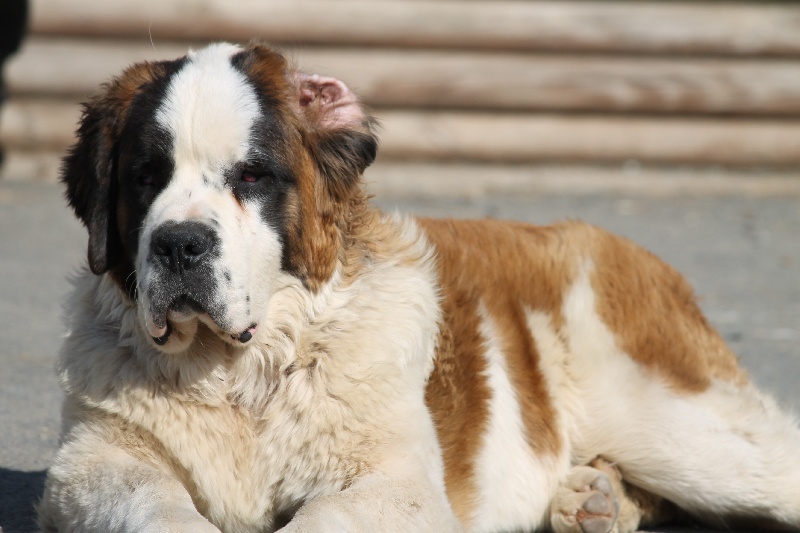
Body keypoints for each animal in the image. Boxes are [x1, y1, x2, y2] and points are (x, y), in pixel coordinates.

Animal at [39, 41, 800, 532]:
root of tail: (607, 239)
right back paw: (595, 498)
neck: (240, 374)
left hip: (682, 428)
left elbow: (323, 516)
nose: (178, 243)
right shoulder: (96, 464)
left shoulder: (392, 482)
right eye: (146, 177)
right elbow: (152, 502)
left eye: (251, 175)